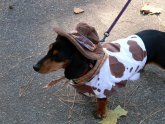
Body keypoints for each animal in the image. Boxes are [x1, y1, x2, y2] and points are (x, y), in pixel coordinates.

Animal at [33, 22, 165, 118]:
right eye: (49, 50)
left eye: (57, 56)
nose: (34, 67)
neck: (92, 68)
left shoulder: (103, 89)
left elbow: (101, 101)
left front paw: (100, 112)